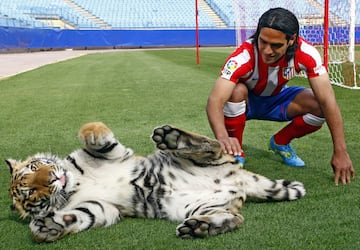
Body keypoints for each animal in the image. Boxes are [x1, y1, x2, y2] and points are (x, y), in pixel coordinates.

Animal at [4, 121, 306, 242]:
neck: (73, 186)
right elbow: (81, 216)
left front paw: (92, 133)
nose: (53, 177)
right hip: (203, 205)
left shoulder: (116, 155)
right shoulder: (104, 208)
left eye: (36, 167)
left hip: (209, 157)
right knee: (236, 219)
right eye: (31, 192)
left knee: (213, 144)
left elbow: (95, 137)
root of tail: (241, 179)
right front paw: (48, 227)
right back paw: (200, 228)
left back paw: (172, 137)